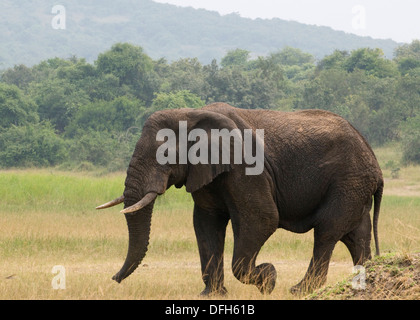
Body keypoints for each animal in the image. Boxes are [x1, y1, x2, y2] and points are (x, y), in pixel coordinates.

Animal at [96, 102, 384, 296]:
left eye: (164, 154)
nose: (113, 279)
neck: (192, 113)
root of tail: (375, 161)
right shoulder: (205, 172)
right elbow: (205, 224)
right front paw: (211, 295)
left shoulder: (246, 168)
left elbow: (262, 219)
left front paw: (268, 279)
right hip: (354, 185)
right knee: (355, 235)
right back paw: (361, 283)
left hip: (348, 181)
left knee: (327, 231)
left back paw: (298, 290)